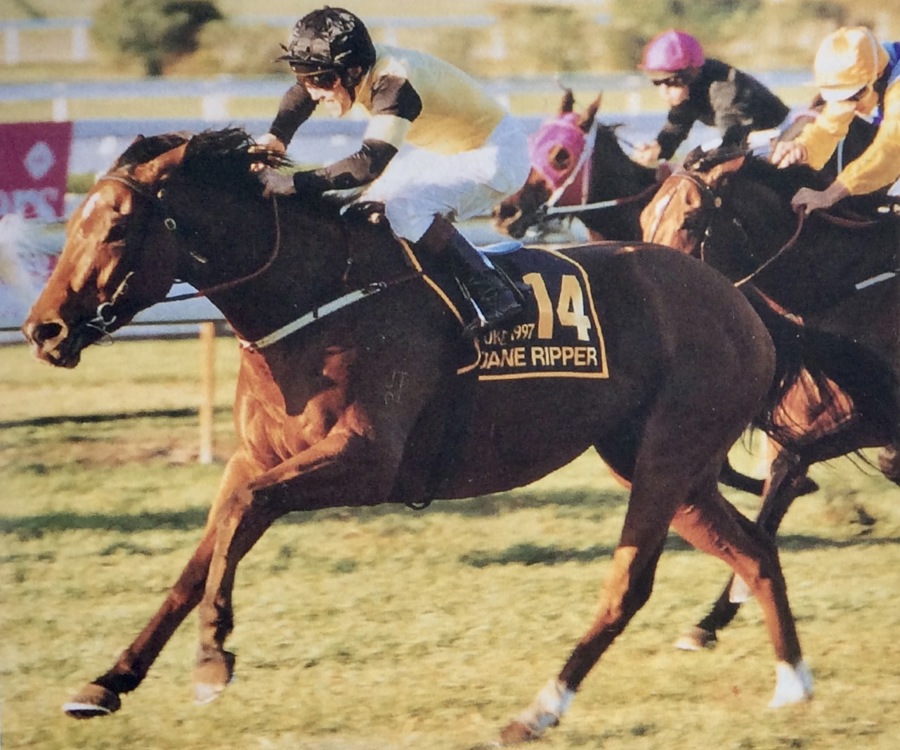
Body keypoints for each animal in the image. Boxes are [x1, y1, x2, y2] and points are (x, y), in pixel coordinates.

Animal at [22, 127, 816, 745]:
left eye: (117, 226)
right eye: (75, 221)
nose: (43, 329)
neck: (317, 297)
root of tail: (737, 299)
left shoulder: (366, 458)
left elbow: (243, 515)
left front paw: (213, 659)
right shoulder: (257, 455)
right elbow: (200, 559)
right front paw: (108, 681)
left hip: (666, 456)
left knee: (630, 583)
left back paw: (537, 711)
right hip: (662, 464)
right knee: (754, 550)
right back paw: (793, 681)